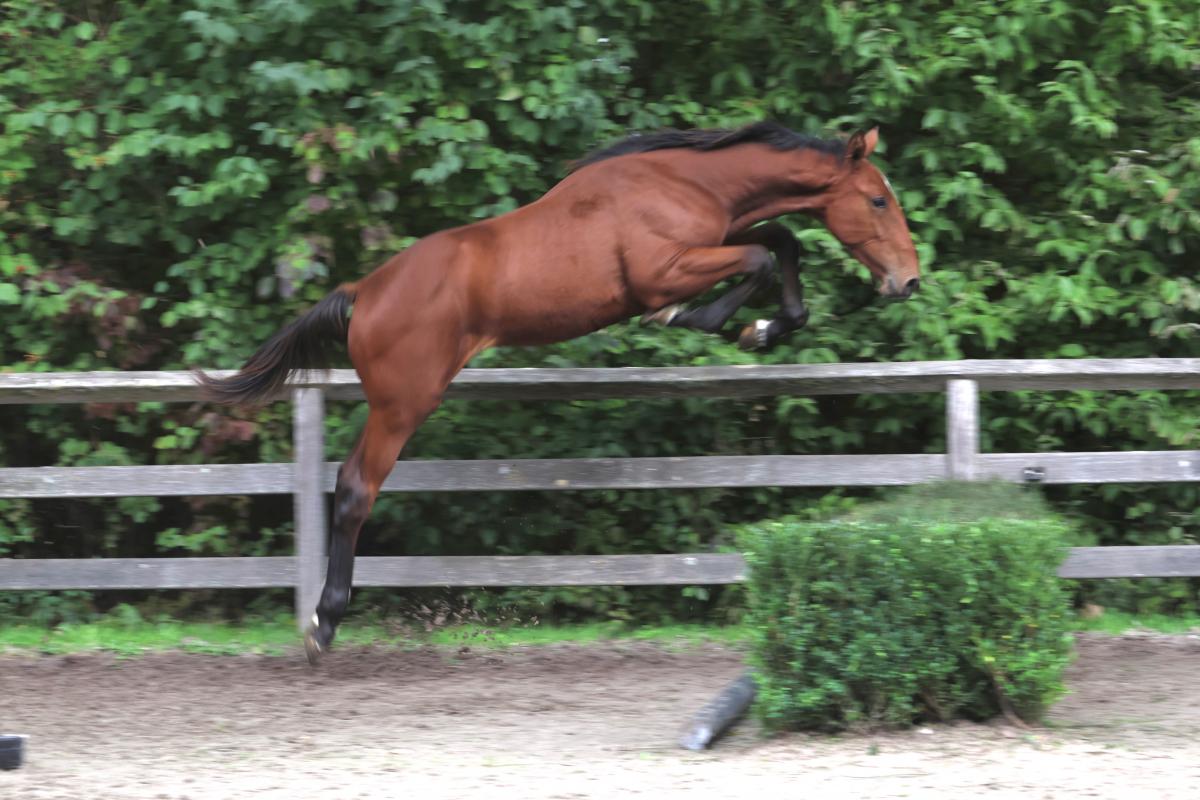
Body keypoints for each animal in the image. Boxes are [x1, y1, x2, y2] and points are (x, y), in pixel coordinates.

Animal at [196, 121, 920, 663]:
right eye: (878, 200)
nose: (908, 281)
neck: (683, 181)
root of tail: (365, 291)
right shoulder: (664, 271)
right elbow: (760, 259)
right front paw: (709, 322)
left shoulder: (719, 238)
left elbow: (781, 240)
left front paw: (770, 325)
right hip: (403, 406)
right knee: (354, 490)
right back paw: (323, 625)